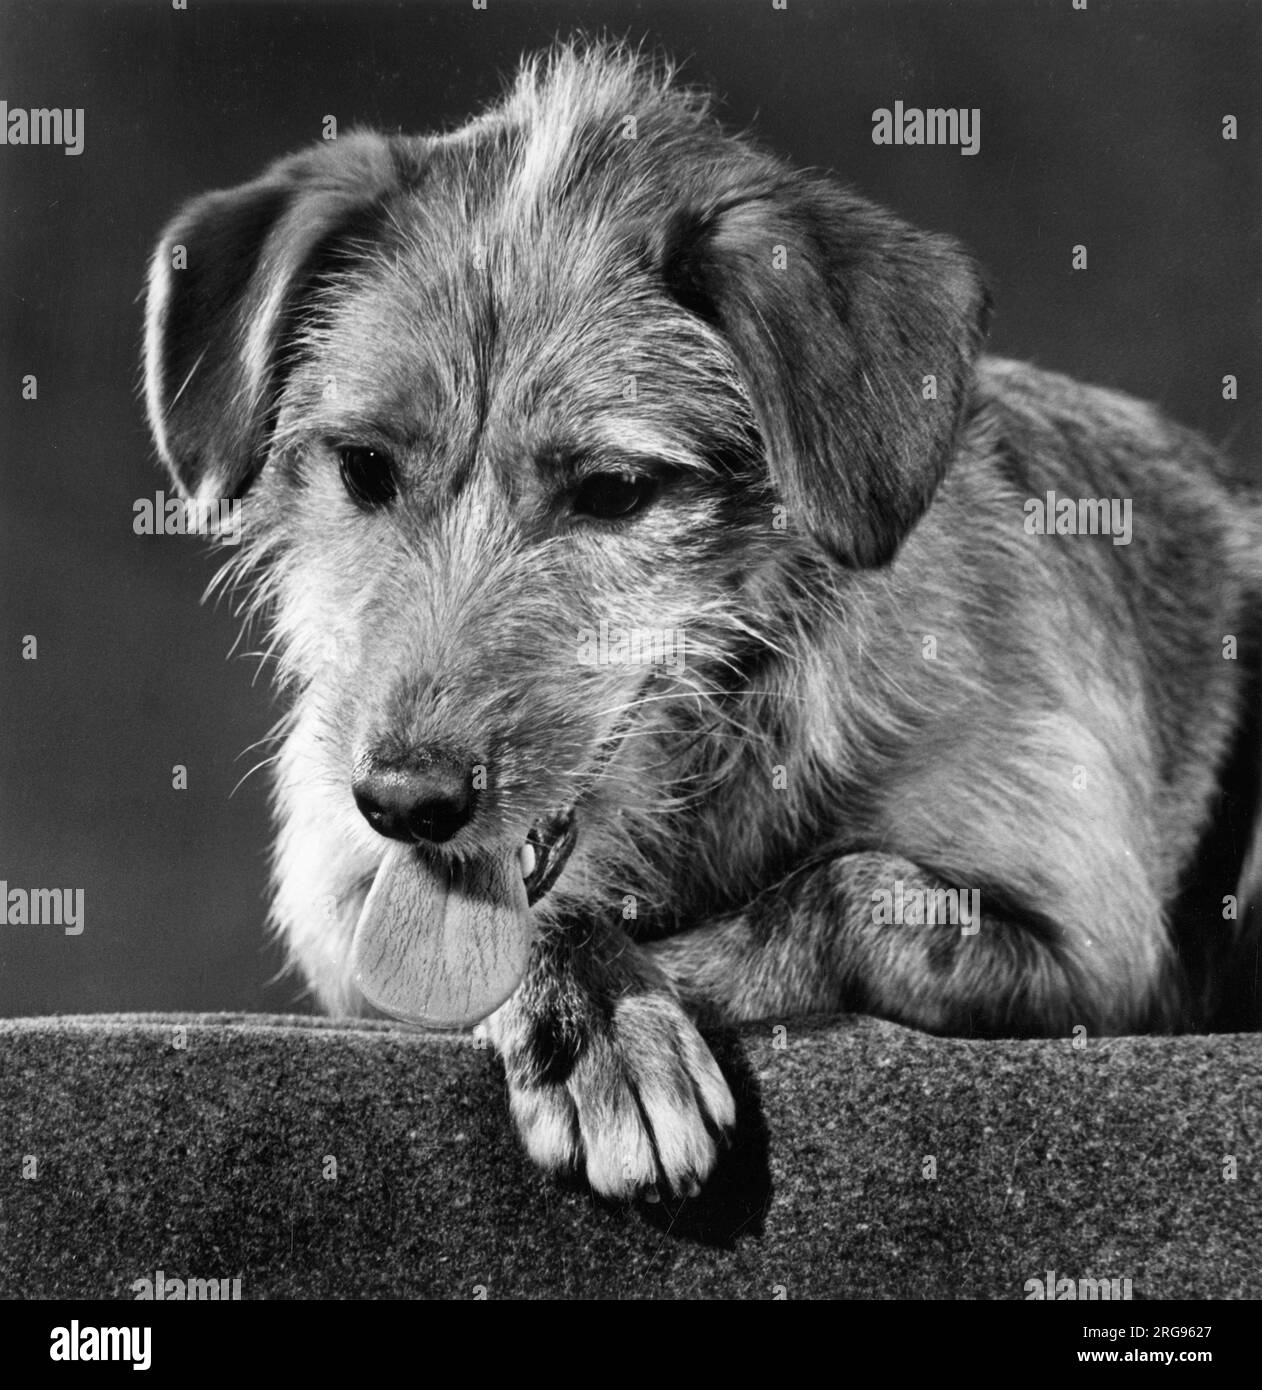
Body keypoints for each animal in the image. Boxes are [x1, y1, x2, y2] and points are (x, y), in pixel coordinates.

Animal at [140, 38, 1262, 1200]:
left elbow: (845, 891)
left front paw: (652, 983)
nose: (406, 800)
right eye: (364, 467)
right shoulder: (339, 887)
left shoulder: (1098, 951)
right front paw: (588, 1014)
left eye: (614, 489)